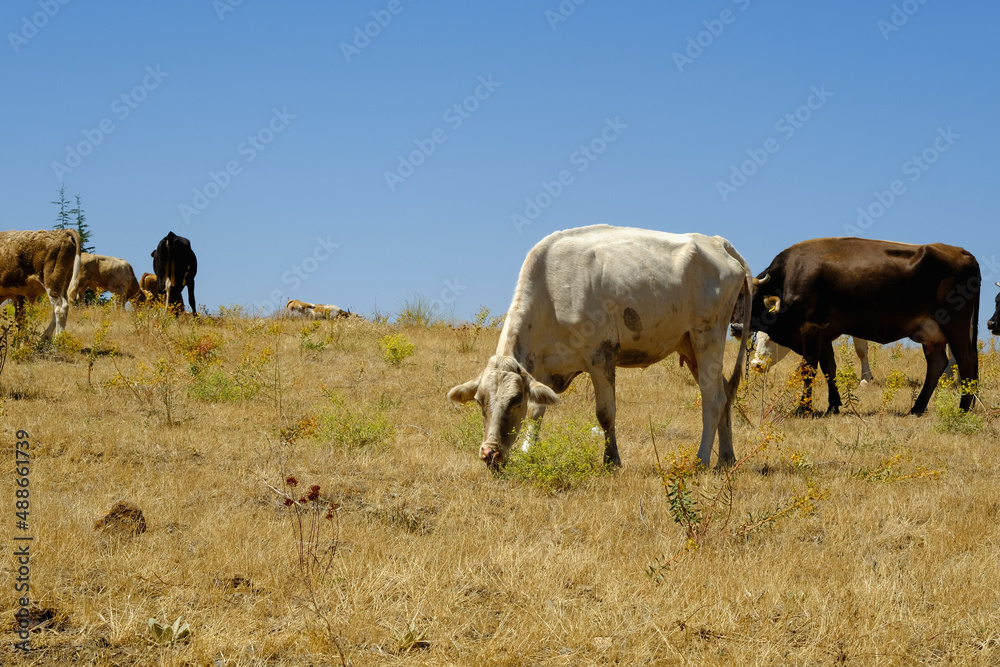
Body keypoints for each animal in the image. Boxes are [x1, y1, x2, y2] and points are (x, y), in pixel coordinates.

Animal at [446, 224, 752, 470]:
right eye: (480, 401)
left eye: (515, 401)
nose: (490, 454)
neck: (550, 295)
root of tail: (717, 242)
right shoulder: (542, 367)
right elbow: (537, 411)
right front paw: (528, 452)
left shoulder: (601, 355)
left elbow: (605, 413)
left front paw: (611, 460)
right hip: (688, 345)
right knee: (725, 392)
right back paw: (727, 458)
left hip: (708, 335)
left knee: (713, 399)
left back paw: (701, 460)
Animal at [740, 237, 980, 414]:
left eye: (747, 296)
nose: (735, 326)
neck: (790, 276)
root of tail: (961, 251)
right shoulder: (823, 332)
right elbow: (829, 368)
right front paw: (833, 405)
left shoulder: (811, 327)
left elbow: (809, 369)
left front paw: (803, 409)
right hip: (930, 333)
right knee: (937, 364)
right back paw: (917, 408)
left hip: (955, 326)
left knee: (966, 361)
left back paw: (963, 408)